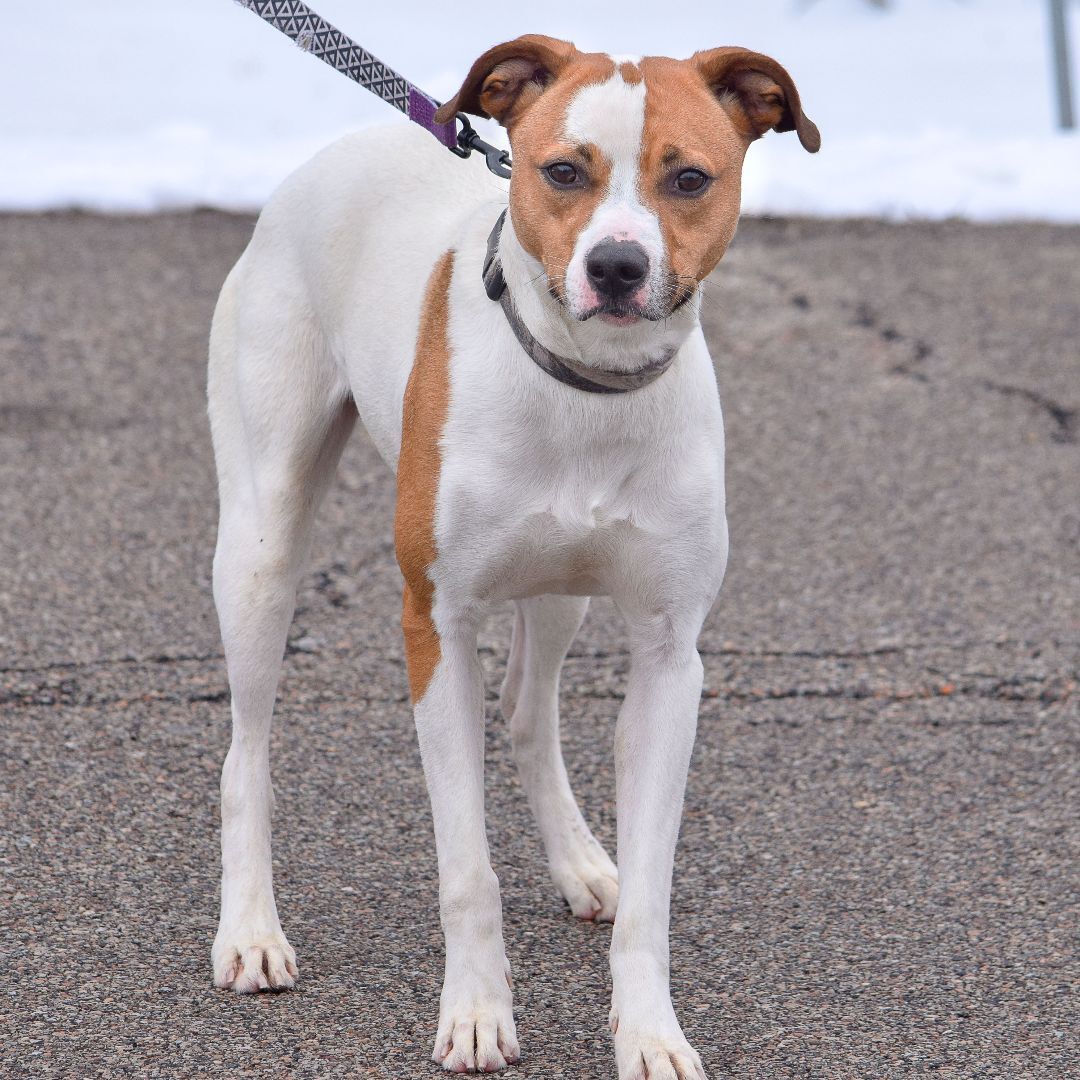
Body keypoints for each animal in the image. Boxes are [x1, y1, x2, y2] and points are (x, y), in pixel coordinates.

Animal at [206, 35, 816, 1080]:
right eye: (563, 171)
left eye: (690, 178)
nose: (617, 265)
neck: (586, 390)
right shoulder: (436, 628)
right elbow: (466, 869)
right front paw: (478, 1014)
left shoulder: (670, 659)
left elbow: (650, 894)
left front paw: (650, 1032)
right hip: (260, 545)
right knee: (244, 754)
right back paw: (250, 931)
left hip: (559, 589)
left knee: (530, 713)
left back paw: (579, 863)